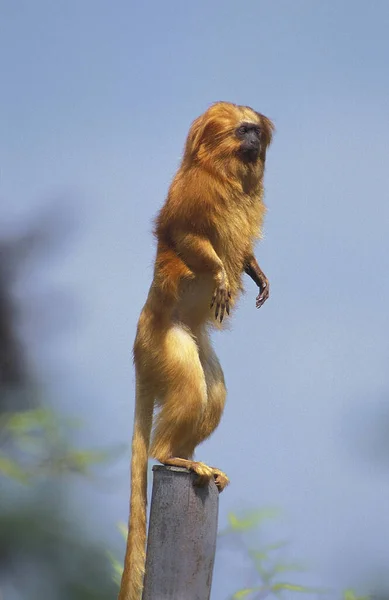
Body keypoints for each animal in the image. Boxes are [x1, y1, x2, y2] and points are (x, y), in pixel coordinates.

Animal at [118, 101, 272, 596]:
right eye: (243, 131)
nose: (254, 141)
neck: (225, 172)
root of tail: (141, 338)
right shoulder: (194, 193)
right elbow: (189, 237)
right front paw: (222, 276)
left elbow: (243, 256)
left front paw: (256, 274)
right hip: (164, 343)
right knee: (189, 386)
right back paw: (169, 455)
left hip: (188, 343)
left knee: (213, 390)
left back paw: (188, 457)